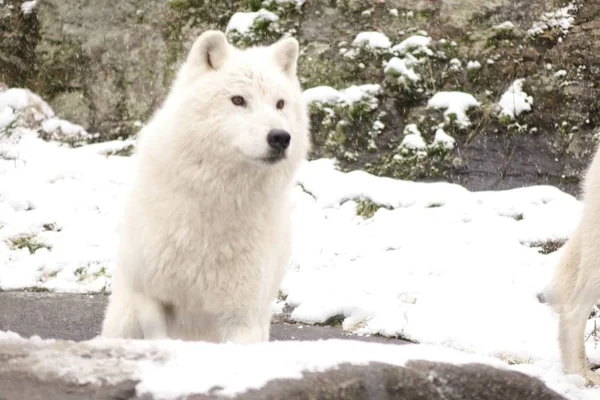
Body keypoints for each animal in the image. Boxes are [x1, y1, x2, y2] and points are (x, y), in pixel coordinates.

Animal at [100, 31, 310, 344]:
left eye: (280, 104)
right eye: (238, 100)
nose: (280, 137)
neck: (217, 200)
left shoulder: (241, 319)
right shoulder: (150, 297)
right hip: (124, 323)